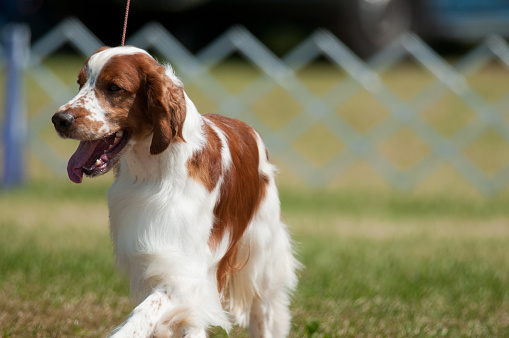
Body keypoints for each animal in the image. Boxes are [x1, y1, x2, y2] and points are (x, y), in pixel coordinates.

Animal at [51, 46, 298, 336]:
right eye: (80, 83)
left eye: (114, 87)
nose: (59, 119)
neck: (151, 172)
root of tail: (249, 129)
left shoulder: (186, 274)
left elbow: (143, 314)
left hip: (262, 256)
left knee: (264, 309)